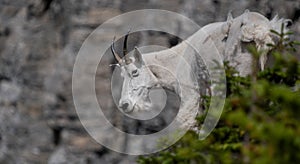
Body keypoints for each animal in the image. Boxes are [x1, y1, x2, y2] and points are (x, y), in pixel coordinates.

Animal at [112, 10, 288, 131]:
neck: (177, 61)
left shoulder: (191, 98)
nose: (124, 104)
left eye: (134, 72)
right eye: (121, 75)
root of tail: (261, 31)